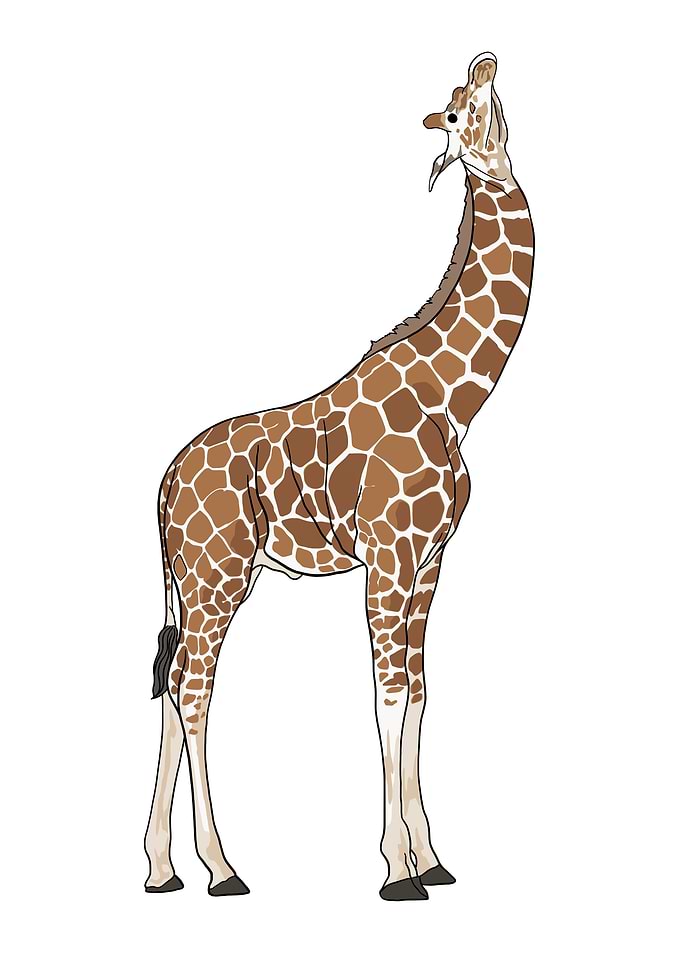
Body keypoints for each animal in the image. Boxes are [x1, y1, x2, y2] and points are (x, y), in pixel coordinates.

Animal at [144, 51, 534, 901]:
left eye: (482, 98)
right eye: (452, 113)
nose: (486, 62)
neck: (456, 396)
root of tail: (163, 486)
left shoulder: (429, 561)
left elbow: (419, 694)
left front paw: (432, 858)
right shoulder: (387, 557)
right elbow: (386, 698)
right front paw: (396, 871)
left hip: (198, 580)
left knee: (170, 682)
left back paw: (160, 868)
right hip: (216, 575)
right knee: (192, 688)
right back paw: (221, 868)